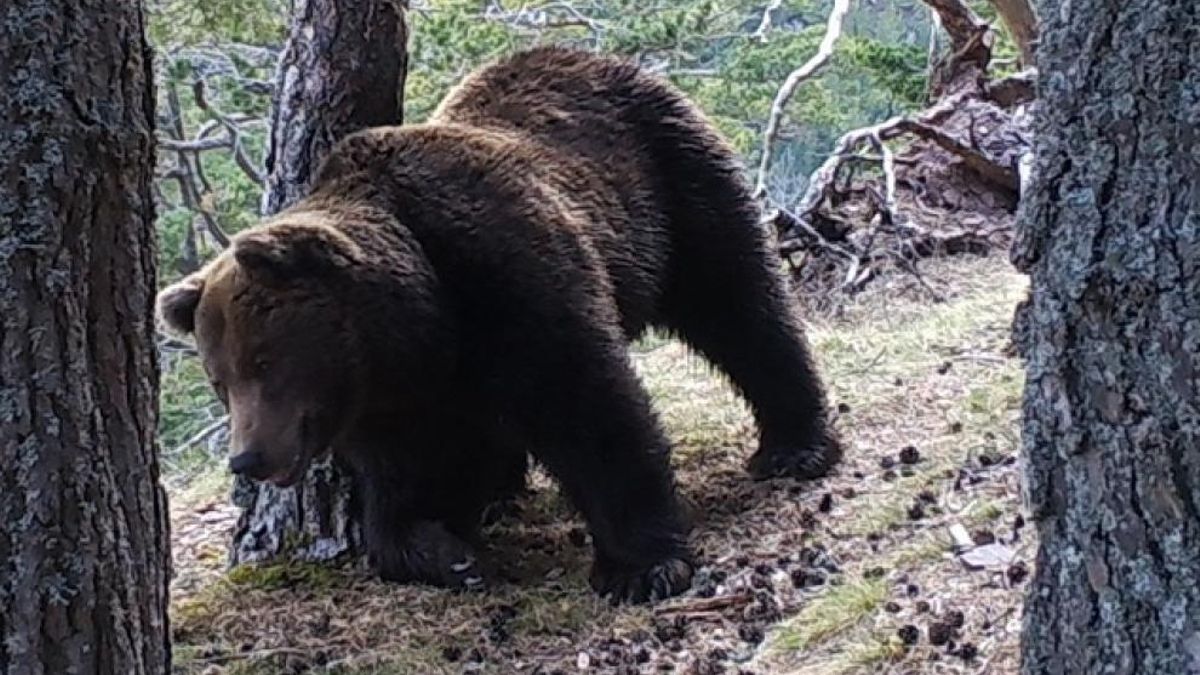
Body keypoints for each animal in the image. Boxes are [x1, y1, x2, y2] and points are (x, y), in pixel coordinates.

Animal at [156, 45, 841, 604]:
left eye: (263, 363)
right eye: (220, 382)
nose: (247, 458)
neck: (420, 320)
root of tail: (588, 55)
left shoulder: (507, 277)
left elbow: (591, 410)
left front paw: (639, 566)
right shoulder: (399, 395)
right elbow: (405, 479)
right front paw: (442, 550)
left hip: (670, 179)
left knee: (740, 304)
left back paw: (795, 444)